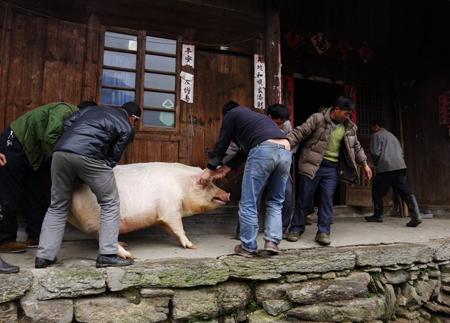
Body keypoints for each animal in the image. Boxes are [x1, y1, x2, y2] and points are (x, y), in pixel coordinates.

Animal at [68, 163, 230, 260]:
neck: (182, 186)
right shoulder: (170, 209)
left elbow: (171, 230)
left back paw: (125, 243)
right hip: (99, 217)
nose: (228, 194)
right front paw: (192, 246)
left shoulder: (162, 216)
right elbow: (179, 228)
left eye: (213, 182)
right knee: (101, 237)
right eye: (208, 184)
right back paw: (129, 255)